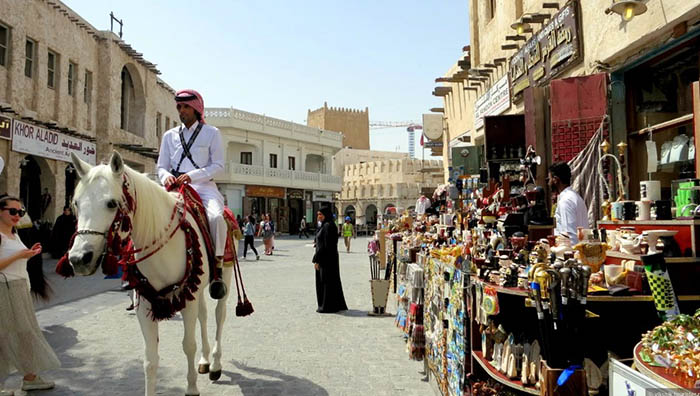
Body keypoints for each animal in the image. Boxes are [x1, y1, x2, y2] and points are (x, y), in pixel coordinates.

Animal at [65, 152, 231, 396]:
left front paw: (191, 388)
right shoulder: (145, 303)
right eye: (76, 203)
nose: (79, 259)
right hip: (197, 289)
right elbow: (150, 360)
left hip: (223, 278)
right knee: (204, 315)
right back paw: (205, 360)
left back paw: (216, 365)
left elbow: (188, 345)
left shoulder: (186, 299)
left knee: (220, 315)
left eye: (111, 203)